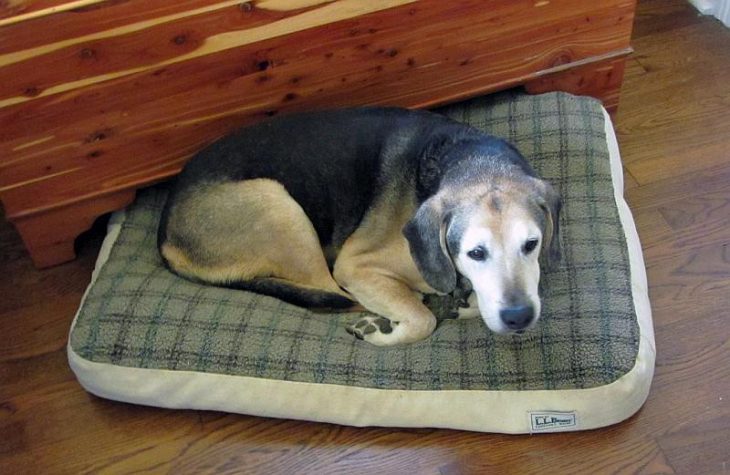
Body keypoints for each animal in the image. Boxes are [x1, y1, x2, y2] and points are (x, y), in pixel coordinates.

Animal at [156, 107, 560, 346]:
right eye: (475, 253)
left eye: (531, 244)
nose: (519, 317)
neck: (470, 160)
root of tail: (165, 234)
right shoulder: (357, 266)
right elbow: (422, 320)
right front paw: (385, 329)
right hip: (280, 207)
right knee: (332, 294)